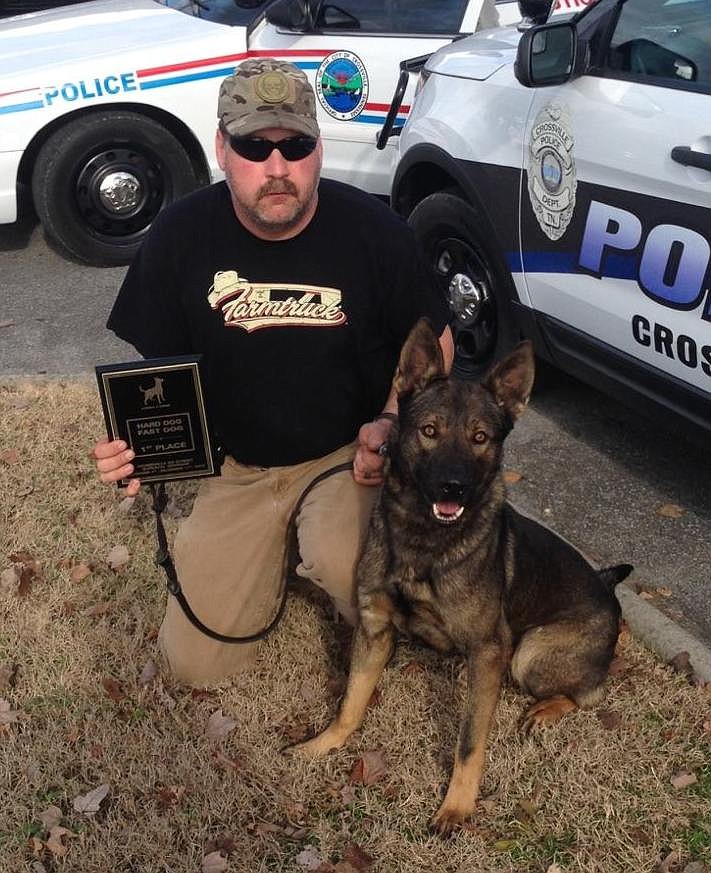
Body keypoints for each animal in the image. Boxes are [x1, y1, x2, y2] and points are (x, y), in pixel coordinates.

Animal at [290, 318, 636, 832]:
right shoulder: (374, 630)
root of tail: (607, 590)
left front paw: (457, 806)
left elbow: (470, 741)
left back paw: (547, 710)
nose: (453, 487)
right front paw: (323, 744)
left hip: (528, 654)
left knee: (591, 692)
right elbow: (349, 702)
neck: (424, 541)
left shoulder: (489, 654)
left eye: (480, 438)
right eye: (429, 431)